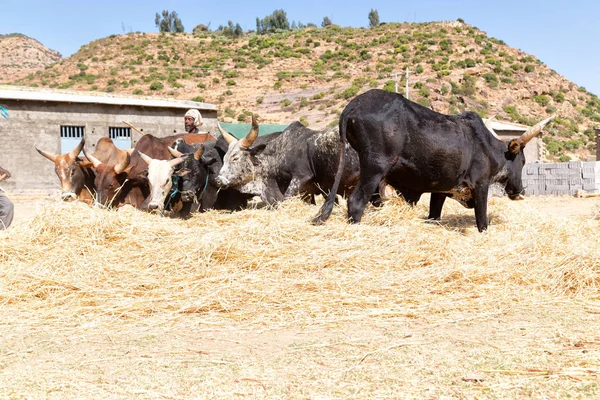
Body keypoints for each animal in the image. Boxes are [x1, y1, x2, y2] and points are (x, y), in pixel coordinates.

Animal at [312, 87, 556, 231]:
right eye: (522, 162)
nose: (519, 192)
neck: (487, 146)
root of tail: (355, 104)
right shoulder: (480, 186)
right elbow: (482, 221)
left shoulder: (441, 189)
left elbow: (434, 214)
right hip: (374, 168)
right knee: (355, 202)